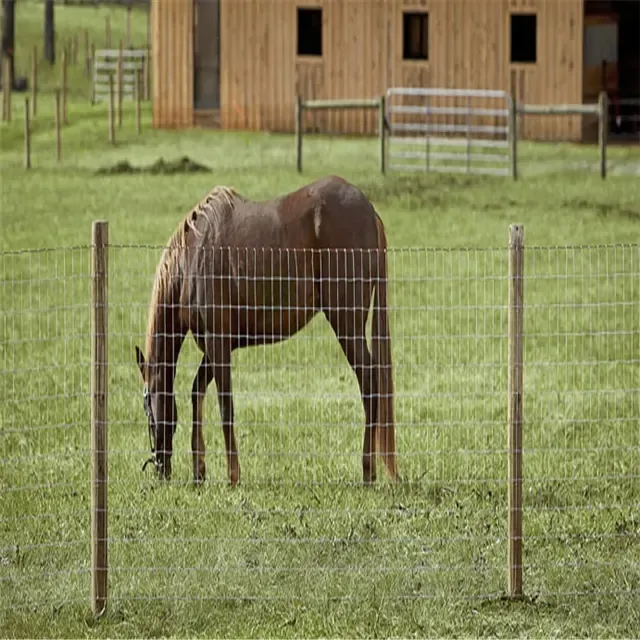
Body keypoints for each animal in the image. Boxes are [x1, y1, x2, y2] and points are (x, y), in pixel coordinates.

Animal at [134, 175, 398, 484]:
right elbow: (197, 392)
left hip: (347, 324)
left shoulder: (217, 343)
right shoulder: (216, 345)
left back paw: (368, 471)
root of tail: (368, 210)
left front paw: (233, 476)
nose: (160, 468)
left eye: (147, 408)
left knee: (369, 383)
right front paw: (199, 471)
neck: (192, 257)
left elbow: (226, 406)